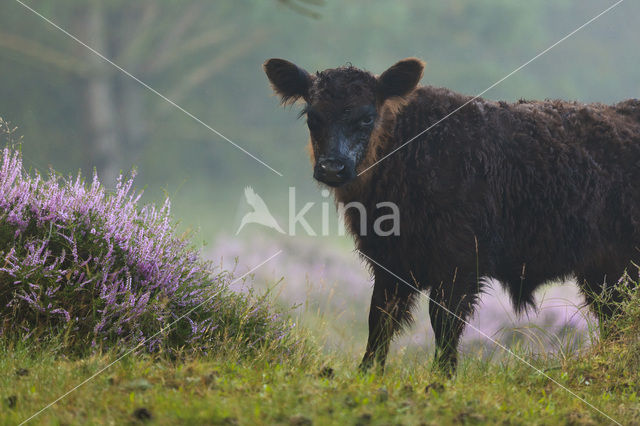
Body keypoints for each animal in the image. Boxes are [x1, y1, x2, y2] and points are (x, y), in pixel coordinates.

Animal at [262, 57, 640, 372]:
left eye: (366, 117)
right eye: (312, 117)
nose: (332, 167)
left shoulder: (460, 264)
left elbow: (444, 324)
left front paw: (440, 379)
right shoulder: (389, 264)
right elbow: (379, 322)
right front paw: (367, 374)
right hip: (602, 273)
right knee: (615, 319)